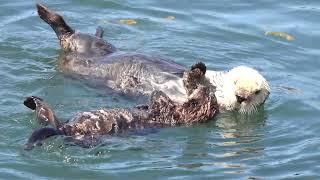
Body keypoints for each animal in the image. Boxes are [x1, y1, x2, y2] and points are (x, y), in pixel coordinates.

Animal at [23, 62, 218, 150]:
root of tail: (63, 129)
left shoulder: (173, 114)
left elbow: (162, 102)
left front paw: (159, 93)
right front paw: (198, 71)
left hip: (80, 134)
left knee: (50, 123)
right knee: (47, 119)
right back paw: (32, 101)